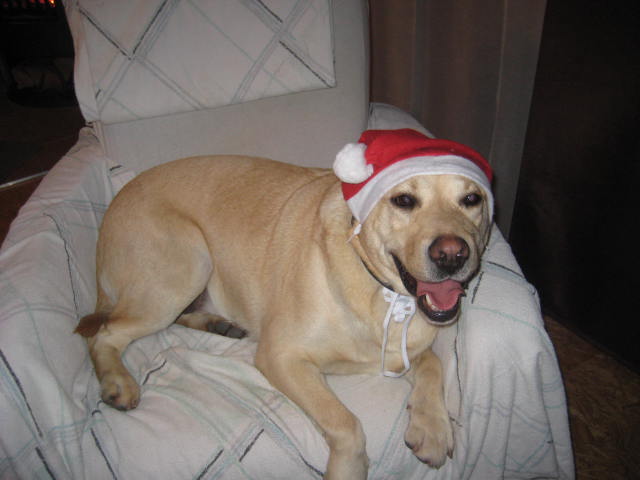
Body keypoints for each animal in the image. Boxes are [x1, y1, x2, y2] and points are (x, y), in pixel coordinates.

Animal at [76, 129, 493, 479]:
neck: (382, 292)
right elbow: (347, 424)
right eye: (404, 200)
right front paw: (348, 468)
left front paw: (432, 428)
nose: (452, 254)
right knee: (104, 334)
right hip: (185, 262)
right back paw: (117, 382)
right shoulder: (281, 356)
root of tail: (110, 214)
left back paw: (216, 323)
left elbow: (433, 365)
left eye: (471, 199)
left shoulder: (401, 352)